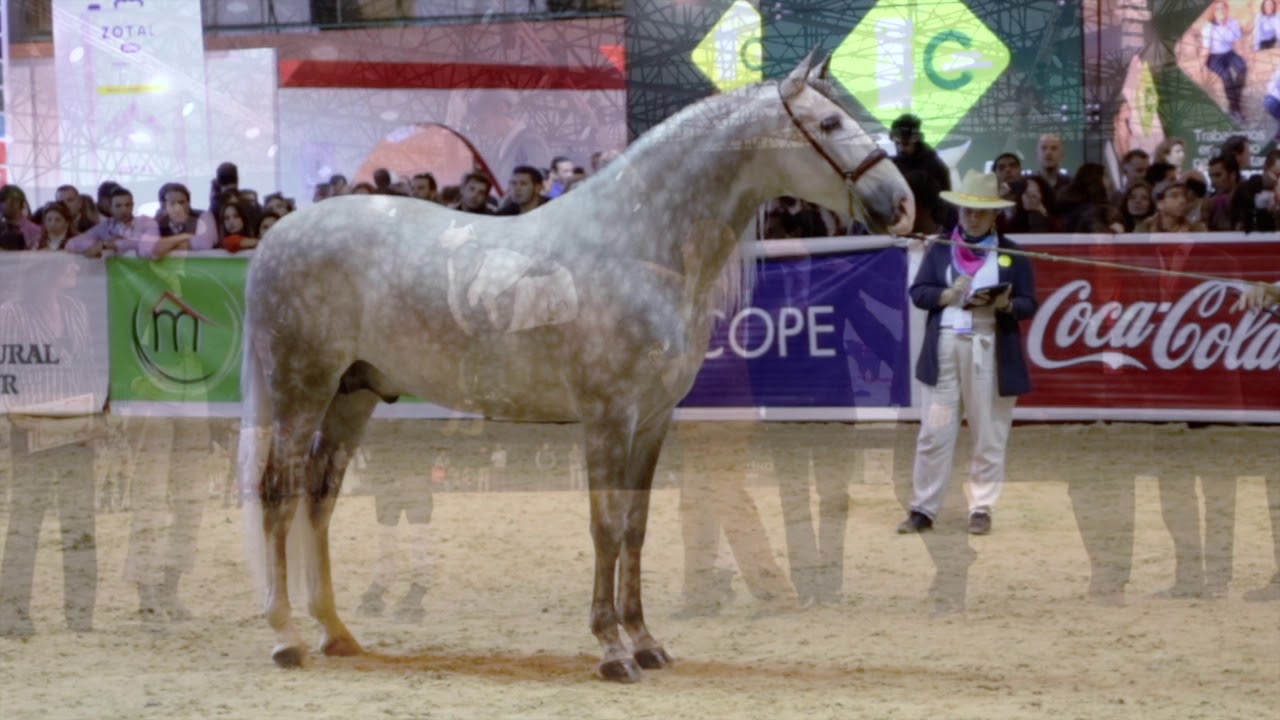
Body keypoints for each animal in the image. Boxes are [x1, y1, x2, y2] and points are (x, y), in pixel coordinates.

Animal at [239, 52, 914, 683]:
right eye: (829, 122)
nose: (903, 204)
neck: (637, 245)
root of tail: (278, 237)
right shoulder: (608, 419)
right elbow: (606, 526)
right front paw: (612, 650)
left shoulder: (653, 421)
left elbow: (637, 526)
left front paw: (645, 642)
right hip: (302, 390)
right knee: (278, 494)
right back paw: (286, 638)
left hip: (352, 394)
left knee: (319, 496)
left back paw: (335, 631)